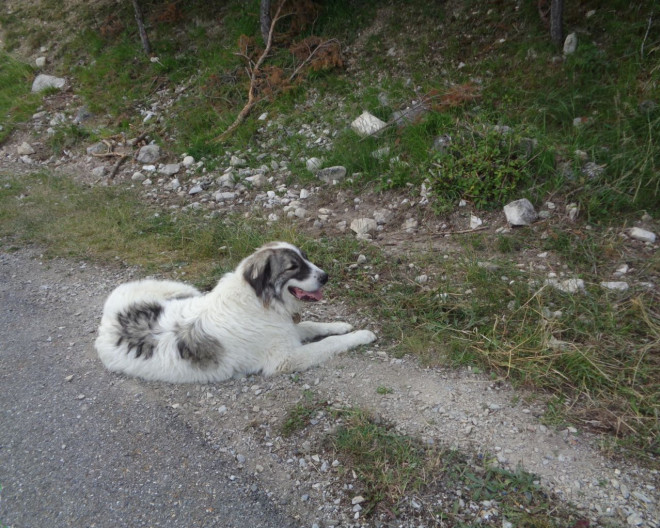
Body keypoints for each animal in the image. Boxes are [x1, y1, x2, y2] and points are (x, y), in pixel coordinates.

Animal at [95, 241, 378, 382]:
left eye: (306, 258)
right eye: (293, 267)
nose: (326, 276)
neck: (258, 299)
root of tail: (108, 320)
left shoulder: (286, 330)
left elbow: (312, 326)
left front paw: (340, 325)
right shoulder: (285, 358)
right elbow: (328, 343)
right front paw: (361, 335)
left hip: (181, 290)